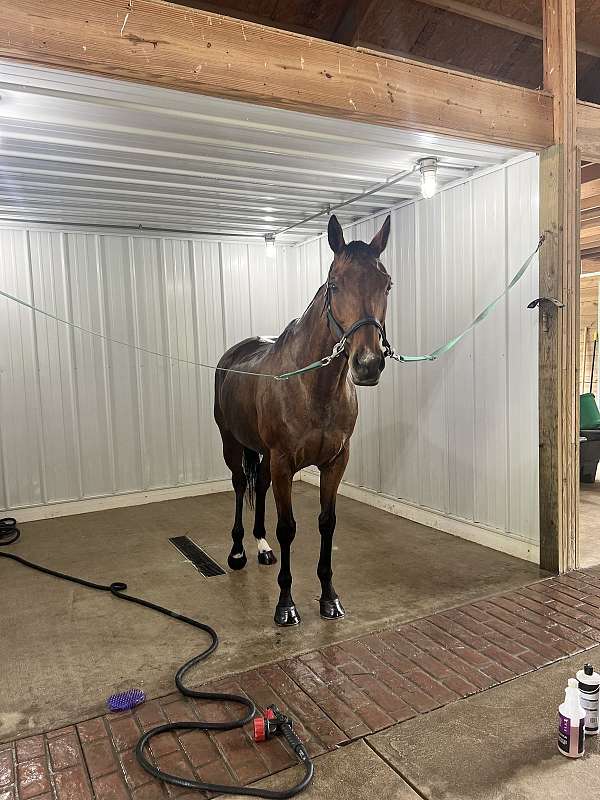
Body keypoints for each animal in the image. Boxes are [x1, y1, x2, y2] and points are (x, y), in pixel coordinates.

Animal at [214, 214, 392, 626]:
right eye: (334, 284)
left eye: (387, 284)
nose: (367, 364)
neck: (314, 387)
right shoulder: (283, 462)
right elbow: (288, 528)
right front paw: (286, 604)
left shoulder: (335, 462)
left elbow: (327, 523)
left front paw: (329, 597)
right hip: (232, 443)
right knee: (238, 485)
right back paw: (238, 552)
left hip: (263, 454)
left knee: (259, 485)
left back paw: (261, 548)